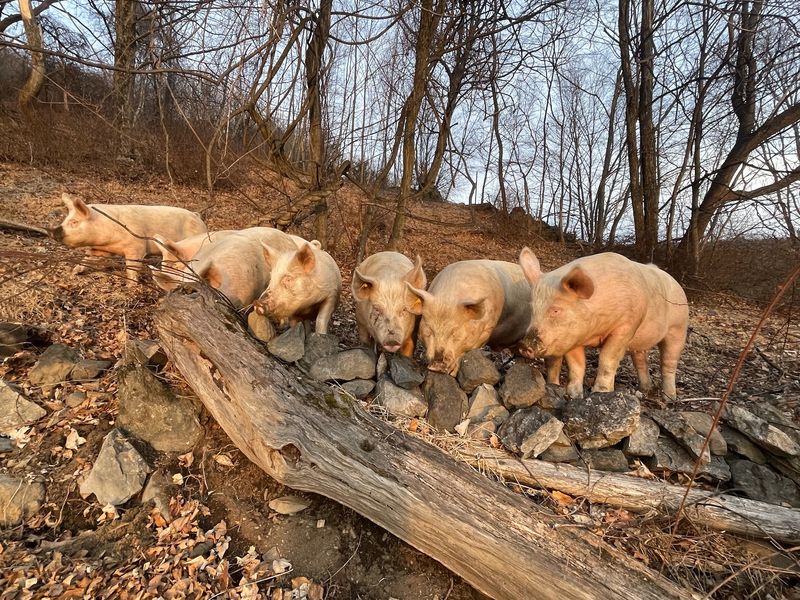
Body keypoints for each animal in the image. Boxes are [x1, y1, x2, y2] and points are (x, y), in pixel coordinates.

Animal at [48, 193, 206, 286]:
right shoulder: (100, 249)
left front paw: (131, 286)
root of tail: (197, 216)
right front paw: (74, 272)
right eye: (65, 219)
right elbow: (88, 258)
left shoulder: (136, 248)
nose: (52, 231)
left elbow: (131, 267)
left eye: (74, 222)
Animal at [517, 248, 689, 400]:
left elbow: (607, 359)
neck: (595, 331)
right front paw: (573, 396)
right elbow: (577, 366)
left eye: (556, 310)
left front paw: (600, 393)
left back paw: (669, 398)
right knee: (640, 359)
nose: (524, 346)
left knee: (668, 363)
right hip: (641, 341)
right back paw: (645, 389)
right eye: (532, 308)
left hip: (678, 329)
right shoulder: (573, 337)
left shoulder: (625, 326)